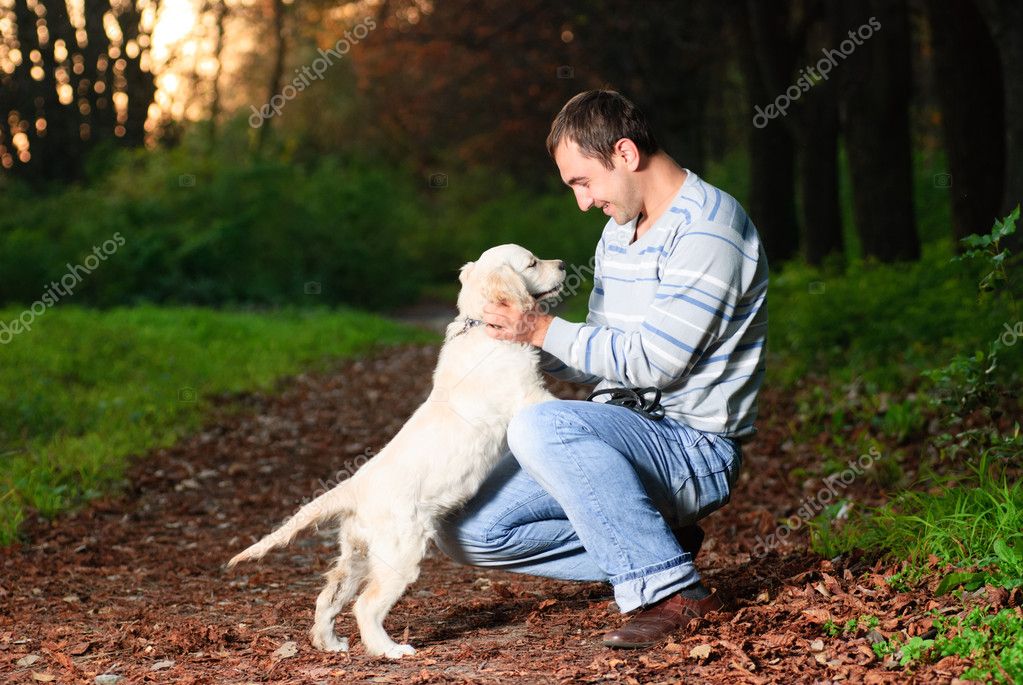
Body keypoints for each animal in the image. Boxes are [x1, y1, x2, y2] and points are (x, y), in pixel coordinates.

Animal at [226, 244, 568, 658]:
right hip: (400, 552)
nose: (564, 265)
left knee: (329, 595)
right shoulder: (528, 395)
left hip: (358, 553)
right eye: (532, 262)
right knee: (365, 605)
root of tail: (353, 488)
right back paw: (390, 650)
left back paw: (330, 643)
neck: (481, 327)